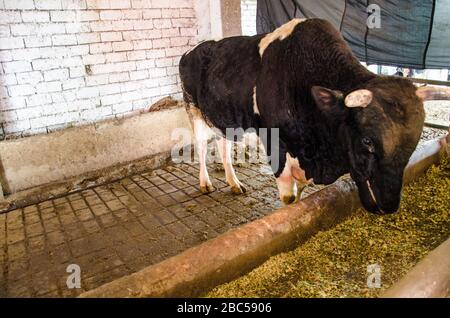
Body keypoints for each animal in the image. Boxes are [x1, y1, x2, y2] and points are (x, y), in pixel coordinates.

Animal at [179, 18, 450, 215]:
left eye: (414, 140)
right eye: (367, 141)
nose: (389, 205)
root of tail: (195, 49)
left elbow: (299, 194)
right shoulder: (276, 145)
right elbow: (289, 198)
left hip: (222, 118)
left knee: (223, 145)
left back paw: (234, 183)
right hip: (193, 109)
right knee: (201, 147)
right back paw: (205, 183)